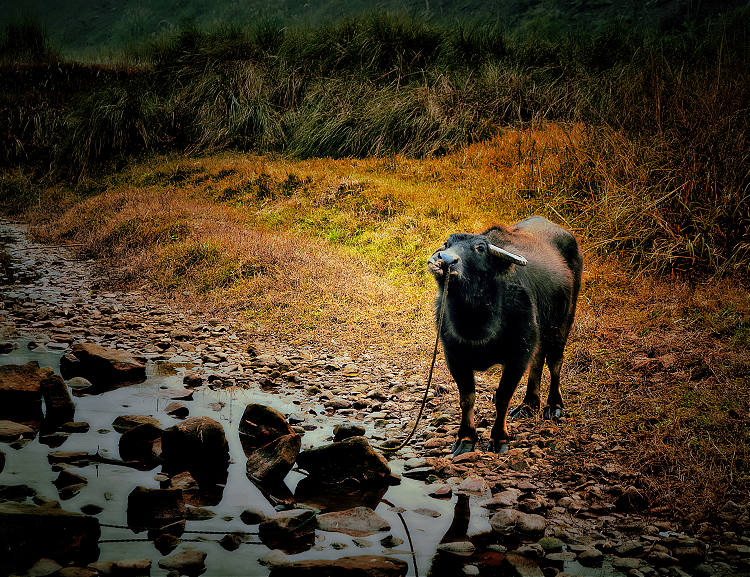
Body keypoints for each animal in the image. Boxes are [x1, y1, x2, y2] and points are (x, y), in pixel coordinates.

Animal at [428, 215, 580, 454]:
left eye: (480, 248)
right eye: (447, 243)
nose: (444, 260)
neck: (475, 321)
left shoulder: (517, 356)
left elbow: (502, 397)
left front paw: (499, 438)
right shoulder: (455, 356)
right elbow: (467, 398)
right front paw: (466, 438)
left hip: (563, 322)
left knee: (555, 361)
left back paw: (554, 406)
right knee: (538, 360)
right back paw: (528, 404)